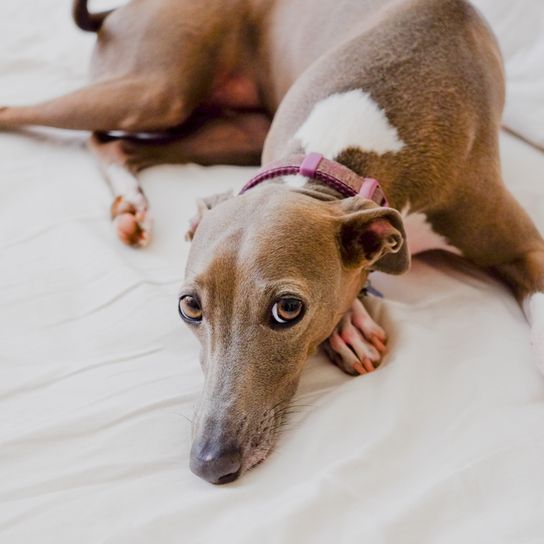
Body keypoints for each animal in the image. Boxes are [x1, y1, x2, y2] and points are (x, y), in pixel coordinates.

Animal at [1, 0, 544, 484]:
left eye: (288, 309)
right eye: (190, 308)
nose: (209, 463)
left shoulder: (525, 247)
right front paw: (350, 323)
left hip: (223, 122)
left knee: (115, 143)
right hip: (156, 92)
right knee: (61, 123)